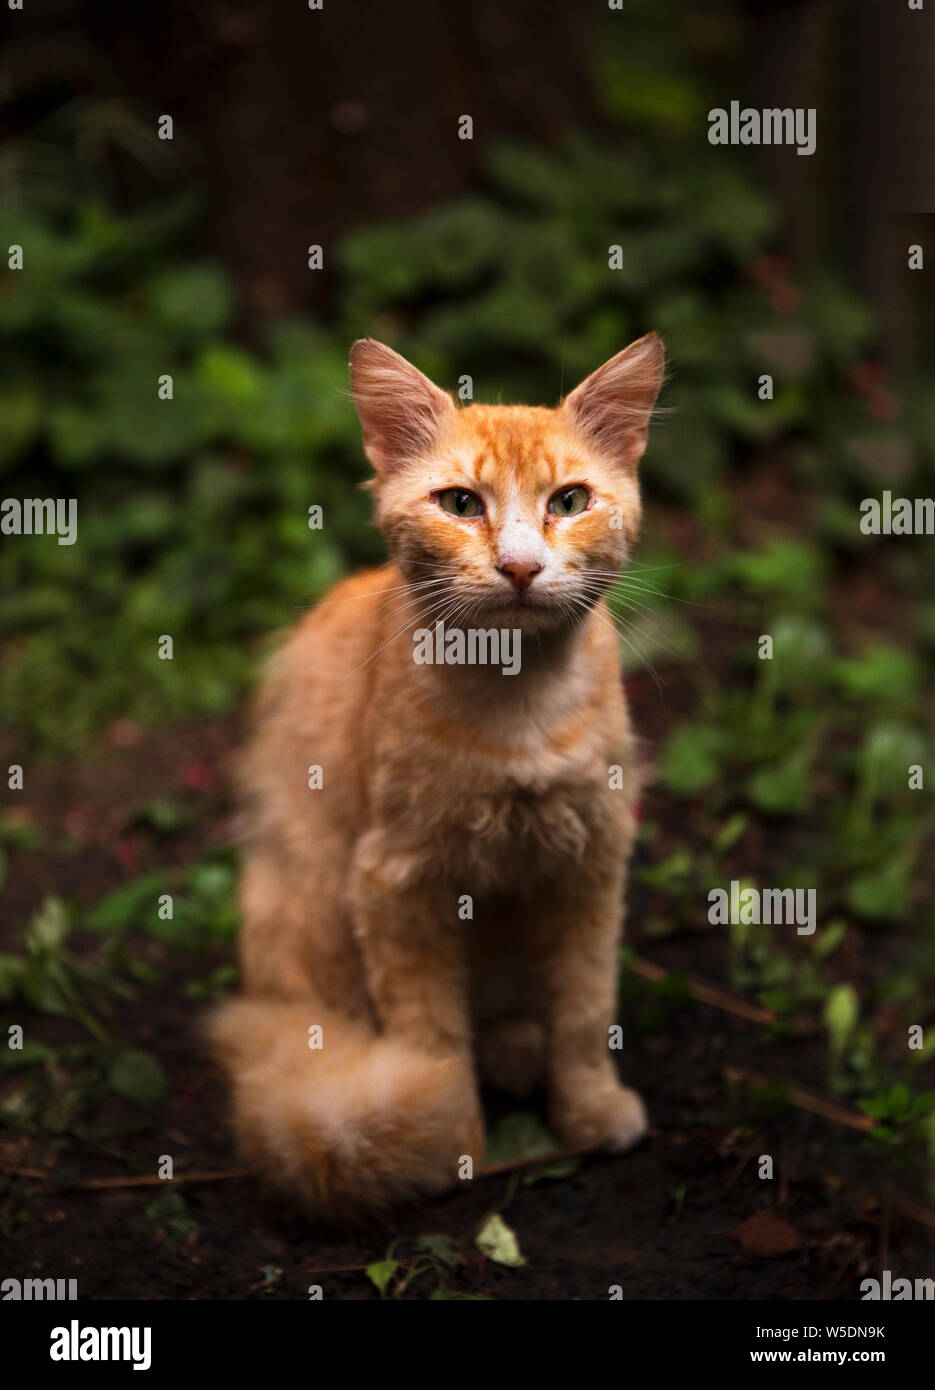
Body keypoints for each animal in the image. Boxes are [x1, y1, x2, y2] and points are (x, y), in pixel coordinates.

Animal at [211, 333, 664, 1217]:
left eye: (568, 501)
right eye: (460, 504)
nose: (520, 567)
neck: (517, 705)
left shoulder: (591, 865)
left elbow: (584, 1010)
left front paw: (588, 1109)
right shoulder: (395, 885)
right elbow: (430, 1038)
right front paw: (447, 1140)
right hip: (309, 905)